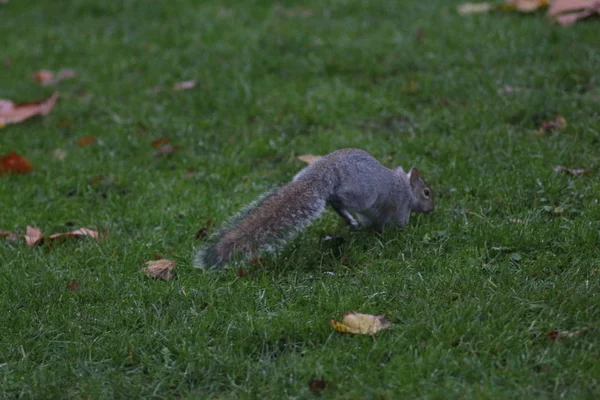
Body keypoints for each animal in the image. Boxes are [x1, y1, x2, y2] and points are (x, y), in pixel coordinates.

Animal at [195, 148, 434, 270]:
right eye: (427, 192)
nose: (433, 208)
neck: (404, 186)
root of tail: (324, 170)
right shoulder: (401, 207)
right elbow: (398, 224)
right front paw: (400, 233)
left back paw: (350, 222)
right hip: (361, 195)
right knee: (337, 200)